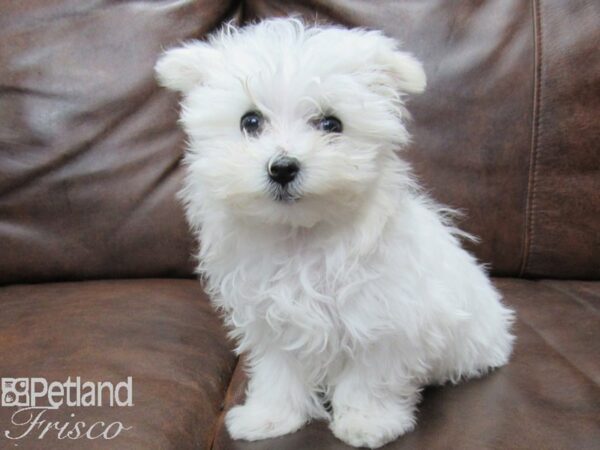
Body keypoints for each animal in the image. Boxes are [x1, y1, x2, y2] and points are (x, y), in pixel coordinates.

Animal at [156, 16, 516, 446]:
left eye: (331, 124)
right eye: (250, 121)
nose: (283, 167)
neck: (302, 235)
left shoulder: (382, 319)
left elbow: (370, 377)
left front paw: (367, 422)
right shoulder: (274, 320)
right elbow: (279, 372)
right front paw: (270, 417)